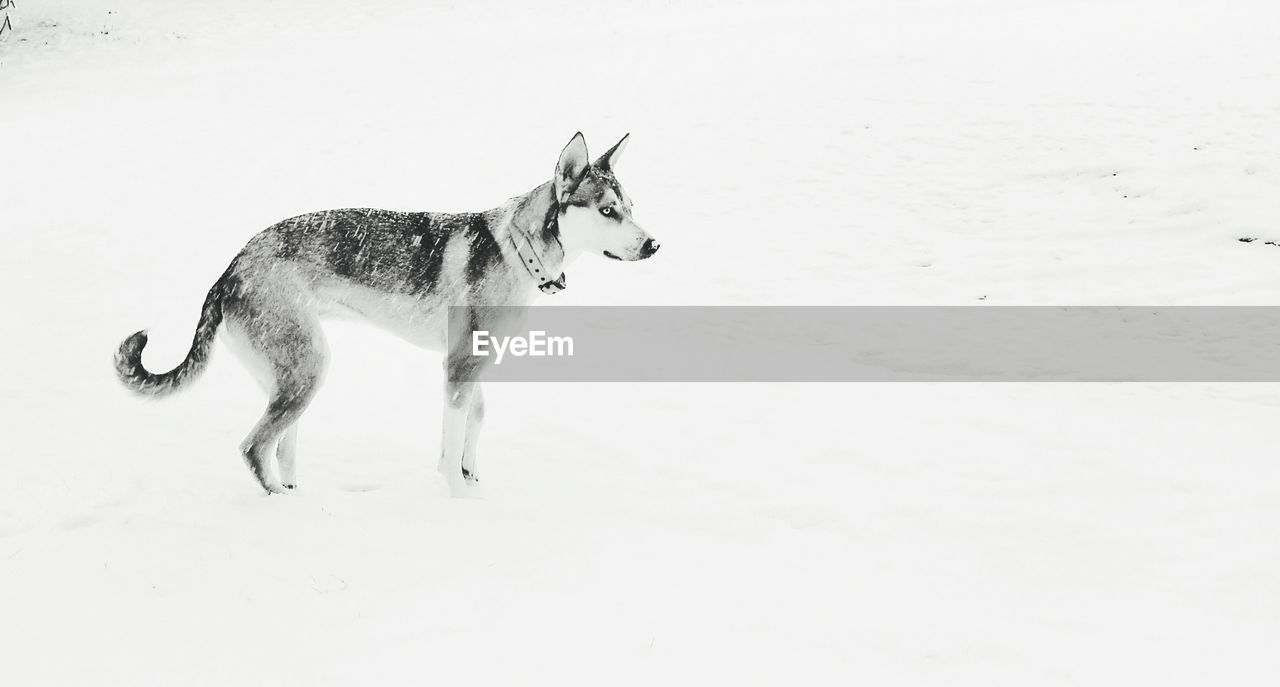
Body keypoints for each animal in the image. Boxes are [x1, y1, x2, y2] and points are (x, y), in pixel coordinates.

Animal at [111, 132, 660, 493]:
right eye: (607, 211)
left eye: (630, 206)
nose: (654, 245)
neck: (517, 248)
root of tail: (231, 268)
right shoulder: (458, 367)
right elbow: (452, 444)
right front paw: (456, 499)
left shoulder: (470, 364)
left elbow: (475, 421)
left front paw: (470, 476)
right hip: (309, 368)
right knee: (253, 449)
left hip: (290, 377)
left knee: (279, 448)